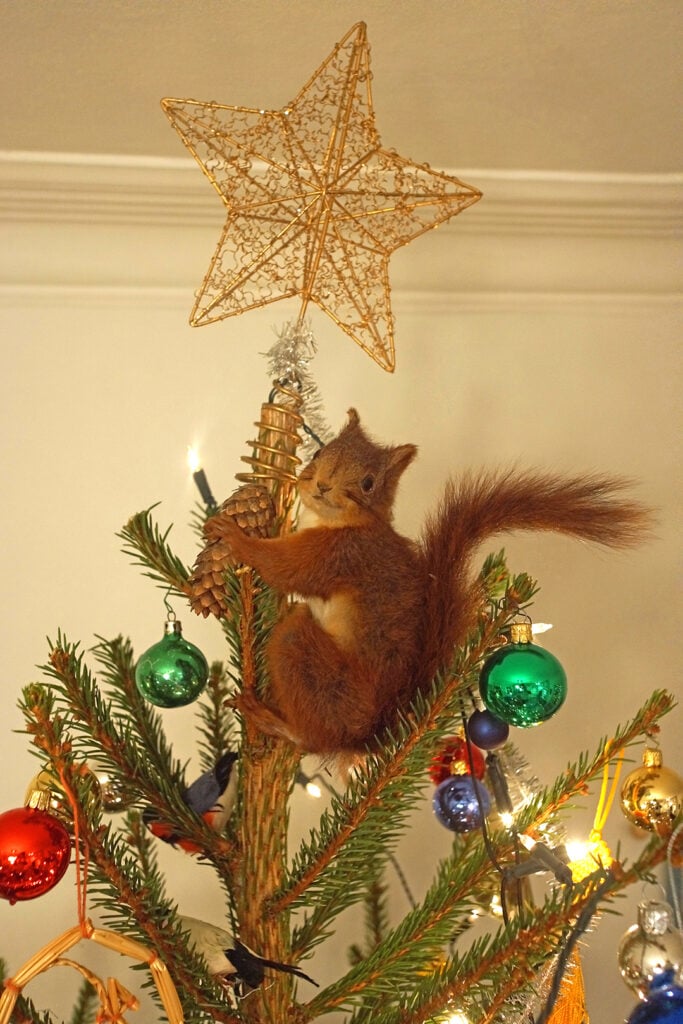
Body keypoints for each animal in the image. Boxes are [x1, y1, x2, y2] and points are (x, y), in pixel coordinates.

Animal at [209, 409, 651, 756]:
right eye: (318, 452)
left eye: (368, 482)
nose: (321, 485)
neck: (334, 521)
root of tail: (370, 733)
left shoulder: (341, 556)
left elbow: (285, 567)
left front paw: (237, 538)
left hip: (312, 667)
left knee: (314, 734)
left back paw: (276, 723)